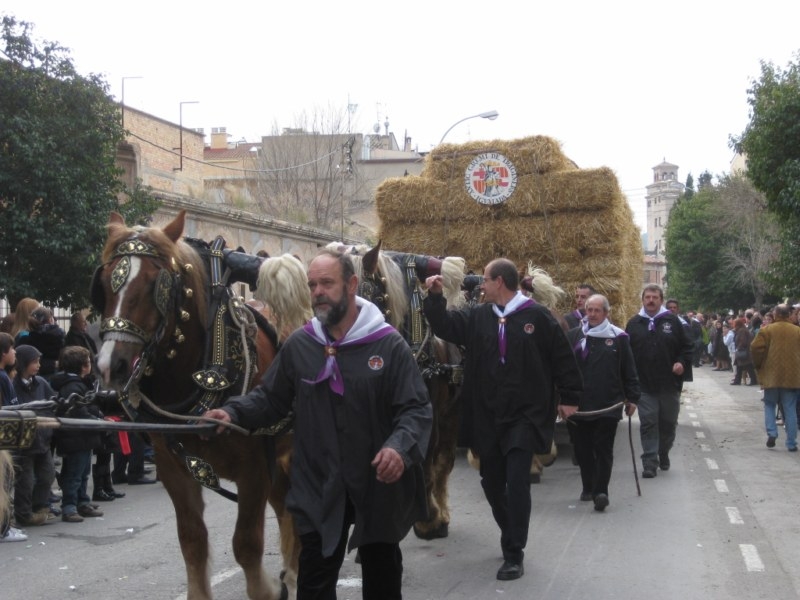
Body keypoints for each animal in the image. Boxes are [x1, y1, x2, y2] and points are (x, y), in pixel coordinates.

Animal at [94, 212, 304, 600]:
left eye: (155, 284)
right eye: (104, 282)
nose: (110, 366)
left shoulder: (254, 470)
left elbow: (246, 545)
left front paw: (269, 588)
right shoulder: (174, 469)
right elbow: (192, 541)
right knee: (285, 505)